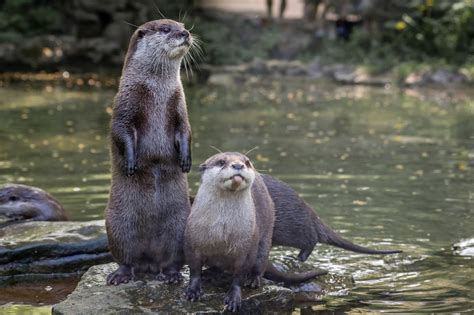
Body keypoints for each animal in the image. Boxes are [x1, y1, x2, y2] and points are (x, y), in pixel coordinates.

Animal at [105, 19, 193, 286]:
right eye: (166, 29)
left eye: (182, 24)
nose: (185, 33)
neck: (157, 91)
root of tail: (149, 262)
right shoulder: (124, 104)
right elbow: (121, 132)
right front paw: (131, 162)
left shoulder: (180, 104)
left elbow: (185, 130)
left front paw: (186, 159)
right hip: (116, 224)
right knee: (126, 258)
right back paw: (121, 275)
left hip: (180, 226)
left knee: (171, 259)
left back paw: (171, 275)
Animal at [183, 154, 324, 314]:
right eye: (221, 162)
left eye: (247, 162)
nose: (238, 165)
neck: (222, 231)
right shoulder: (192, 241)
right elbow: (194, 269)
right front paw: (193, 290)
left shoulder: (246, 247)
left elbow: (239, 275)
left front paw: (234, 297)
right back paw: (209, 273)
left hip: (265, 238)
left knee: (259, 263)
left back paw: (253, 280)